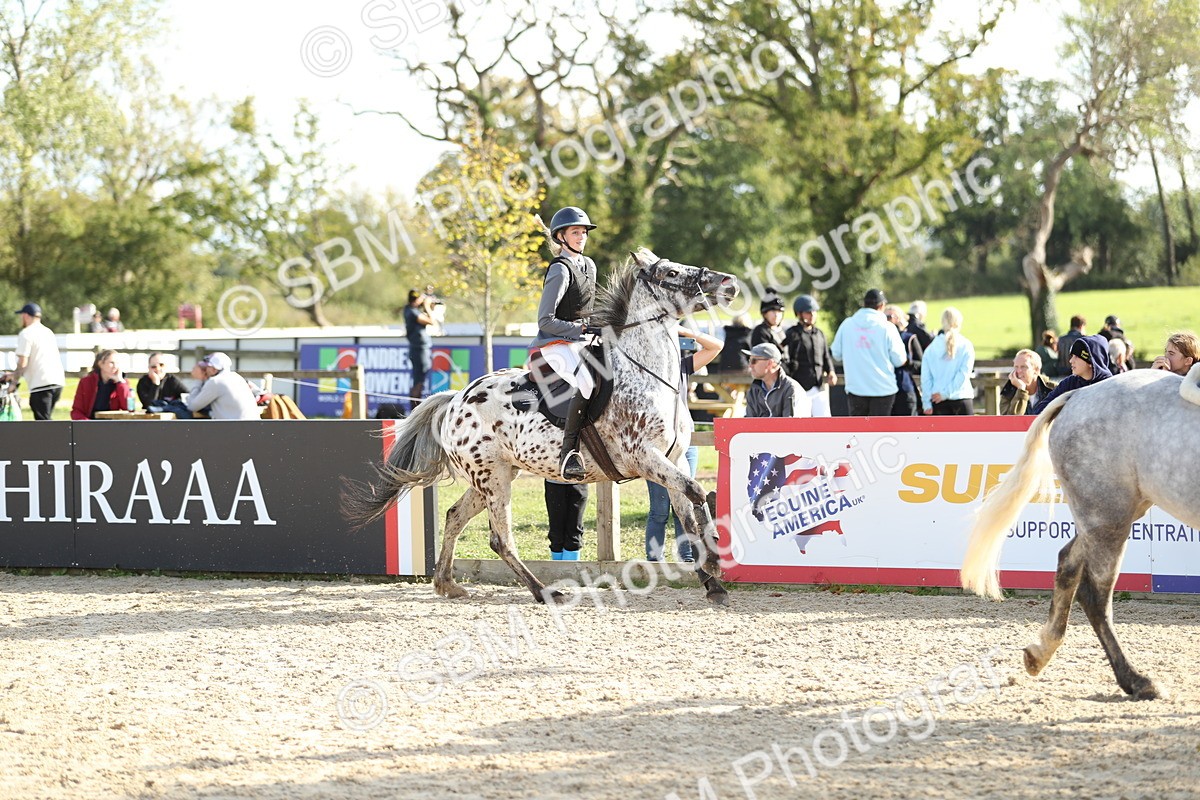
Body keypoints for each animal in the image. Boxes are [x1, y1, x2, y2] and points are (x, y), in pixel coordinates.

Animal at [343, 248, 739, 605]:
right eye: (671, 272)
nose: (729, 282)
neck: (648, 375)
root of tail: (455, 399)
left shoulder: (673, 458)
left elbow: (689, 509)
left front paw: (713, 582)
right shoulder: (643, 457)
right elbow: (696, 493)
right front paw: (715, 562)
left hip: (497, 473)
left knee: (455, 516)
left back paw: (447, 584)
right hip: (493, 478)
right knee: (500, 539)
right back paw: (545, 591)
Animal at [961, 364, 1200, 699]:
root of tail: (1077, 396)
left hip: (1109, 514)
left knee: (1067, 561)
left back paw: (1040, 652)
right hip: (1108, 516)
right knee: (1095, 597)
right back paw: (1136, 680)